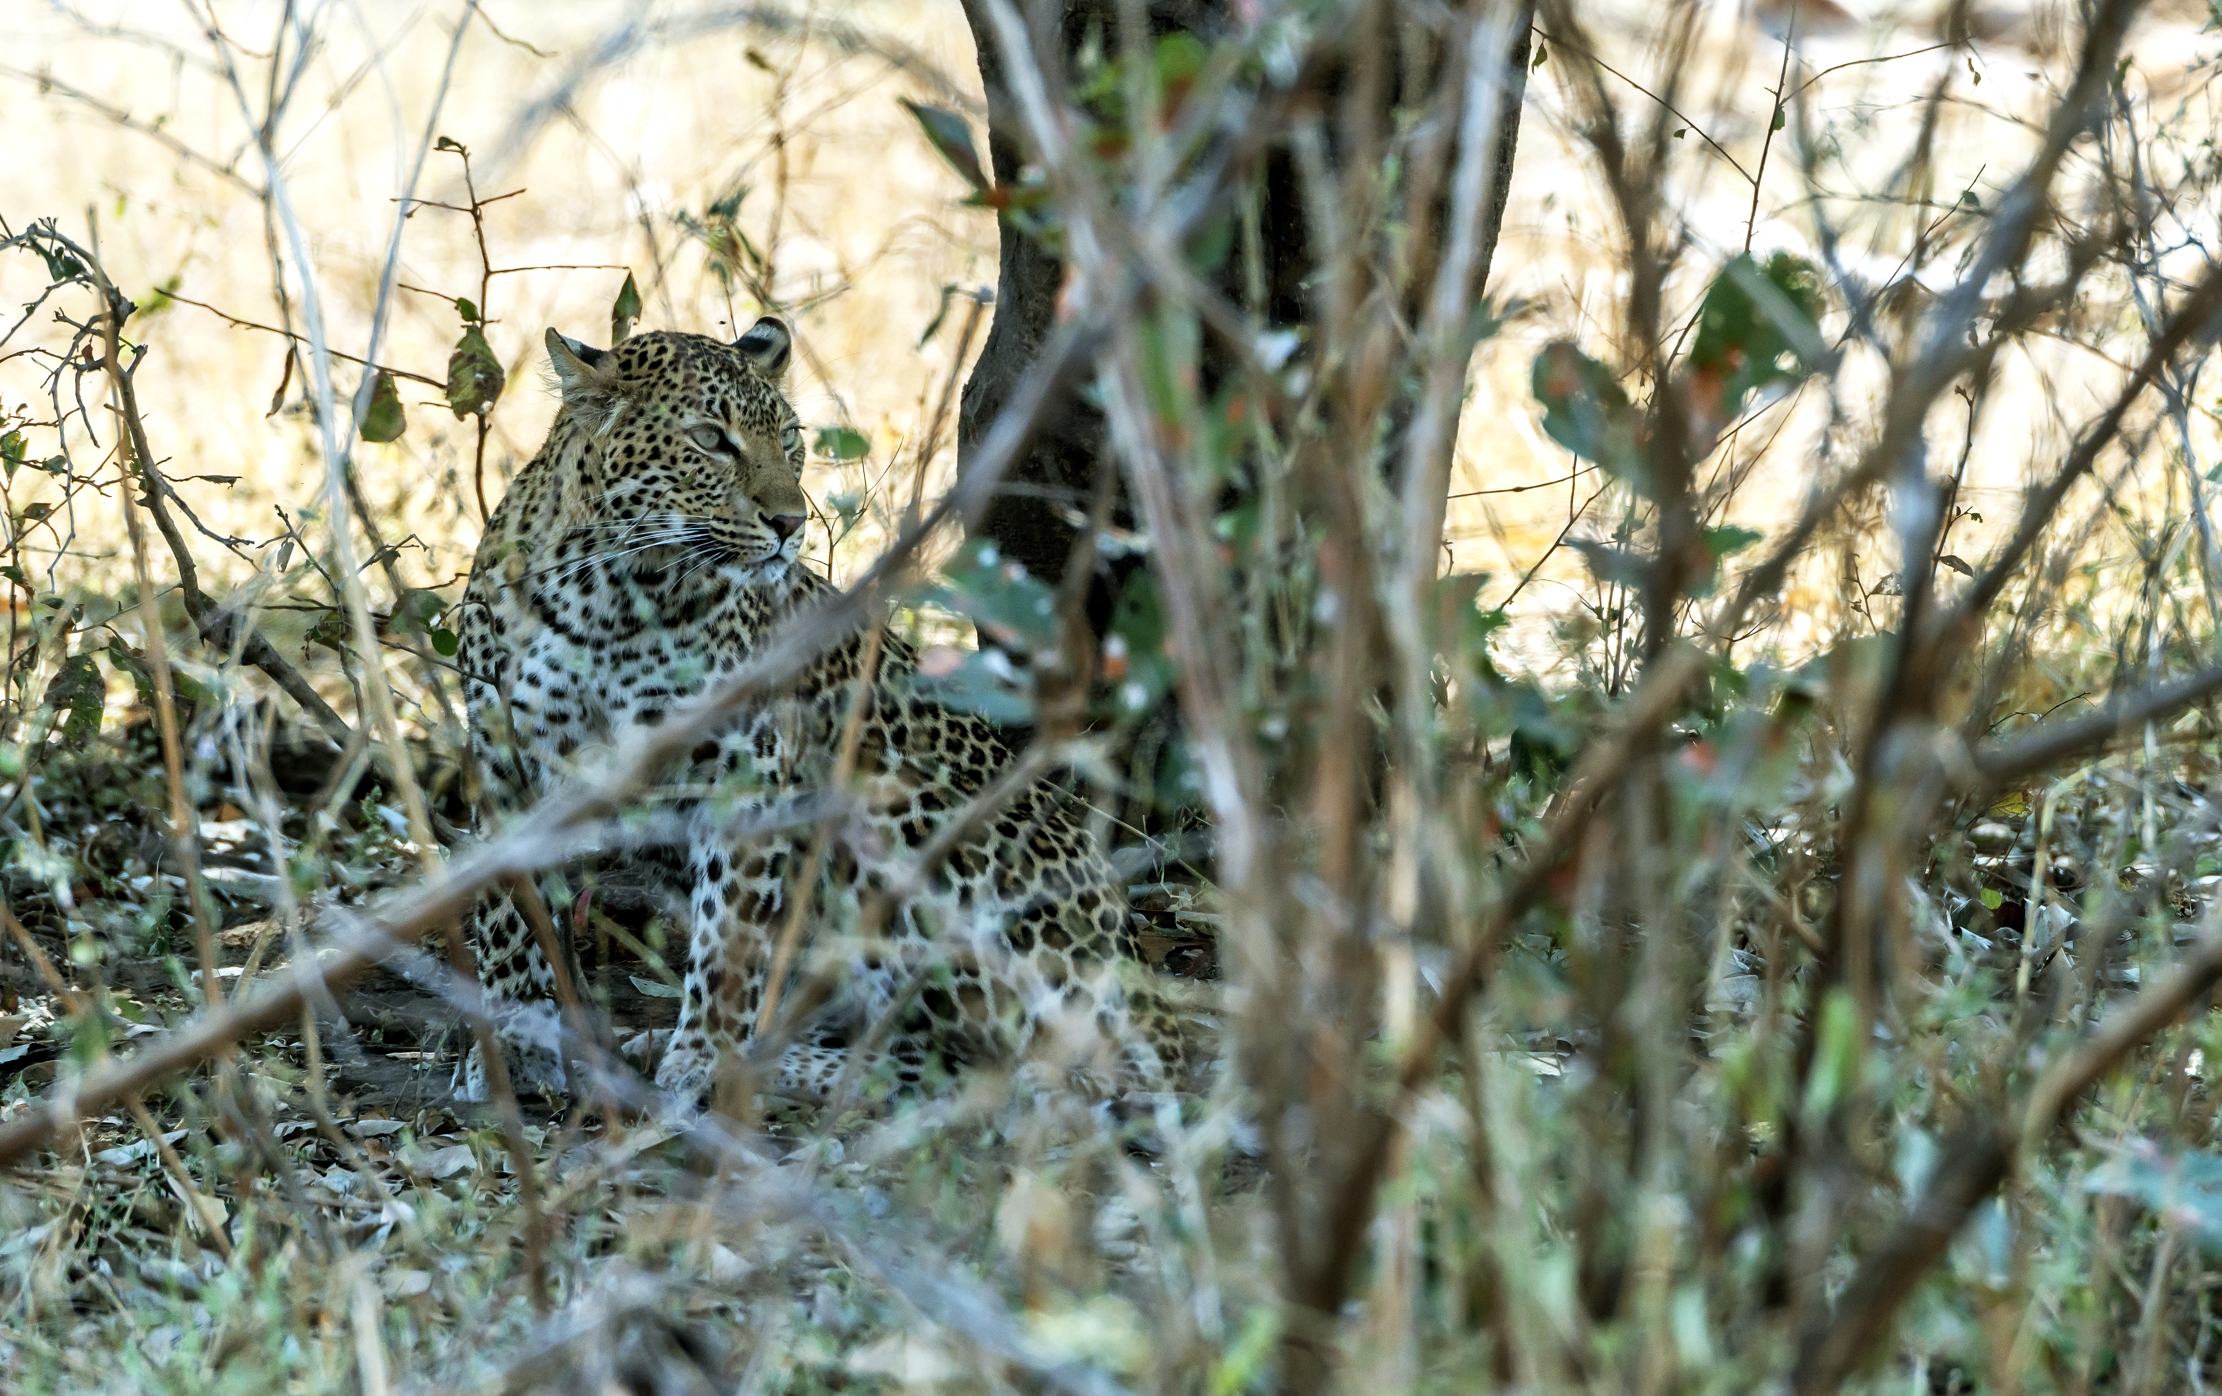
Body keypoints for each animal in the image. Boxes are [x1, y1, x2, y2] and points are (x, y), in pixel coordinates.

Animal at [455, 317, 1186, 1111]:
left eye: (790, 441)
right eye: (711, 439)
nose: (788, 522)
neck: (612, 596)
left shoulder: (745, 770)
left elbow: (729, 936)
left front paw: (704, 1059)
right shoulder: (502, 761)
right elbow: (505, 917)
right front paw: (512, 1049)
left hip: (903, 813)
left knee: (997, 1070)